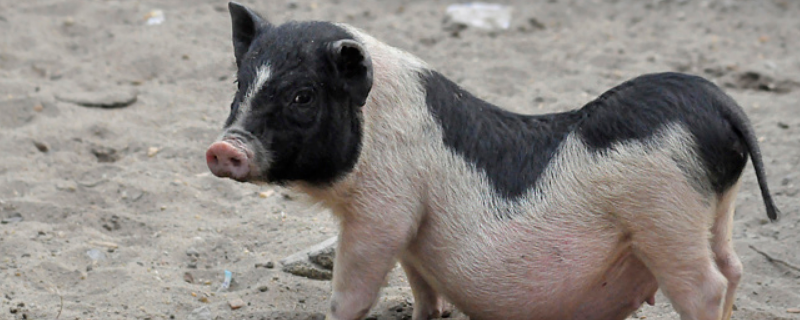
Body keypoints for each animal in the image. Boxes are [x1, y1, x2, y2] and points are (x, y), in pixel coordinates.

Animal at [205, 2, 780, 320]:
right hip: (717, 208)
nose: (223, 147)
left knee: (707, 285)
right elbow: (422, 287)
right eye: (239, 84)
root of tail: (721, 103)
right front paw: (427, 315)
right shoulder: (414, 231)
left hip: (666, 219)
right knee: (734, 267)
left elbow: (351, 291)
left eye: (302, 95)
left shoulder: (385, 208)